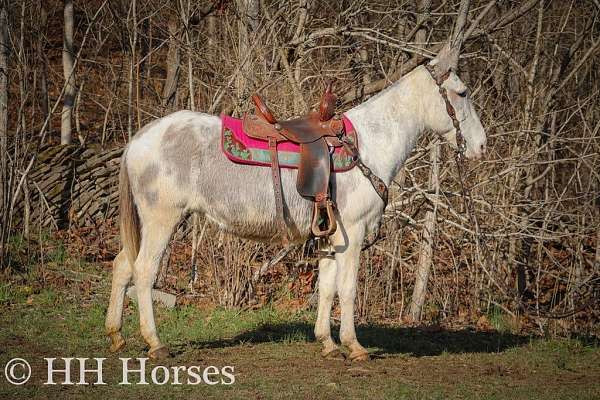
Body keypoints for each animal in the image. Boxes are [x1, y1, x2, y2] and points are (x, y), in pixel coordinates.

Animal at [104, 57, 488, 360]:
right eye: (463, 92)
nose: (481, 146)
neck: (369, 144)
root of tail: (139, 139)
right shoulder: (354, 231)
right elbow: (348, 288)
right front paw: (354, 346)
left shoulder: (333, 236)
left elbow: (327, 287)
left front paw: (328, 344)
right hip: (161, 219)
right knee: (143, 271)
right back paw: (155, 342)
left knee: (122, 265)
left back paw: (116, 336)